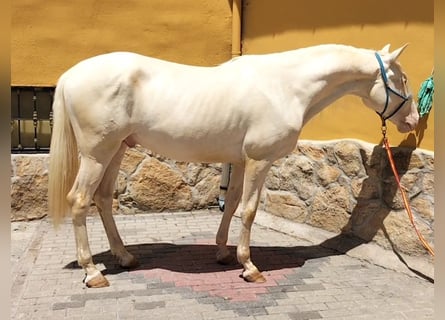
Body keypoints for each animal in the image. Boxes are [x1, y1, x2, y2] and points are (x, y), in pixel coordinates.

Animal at [47, 43, 416, 288]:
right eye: (403, 78)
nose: (412, 120)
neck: (285, 87)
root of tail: (70, 75)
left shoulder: (241, 161)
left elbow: (234, 203)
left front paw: (224, 253)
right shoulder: (259, 161)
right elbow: (249, 210)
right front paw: (249, 266)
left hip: (116, 151)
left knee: (103, 199)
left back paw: (124, 257)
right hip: (97, 154)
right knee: (80, 201)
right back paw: (93, 272)